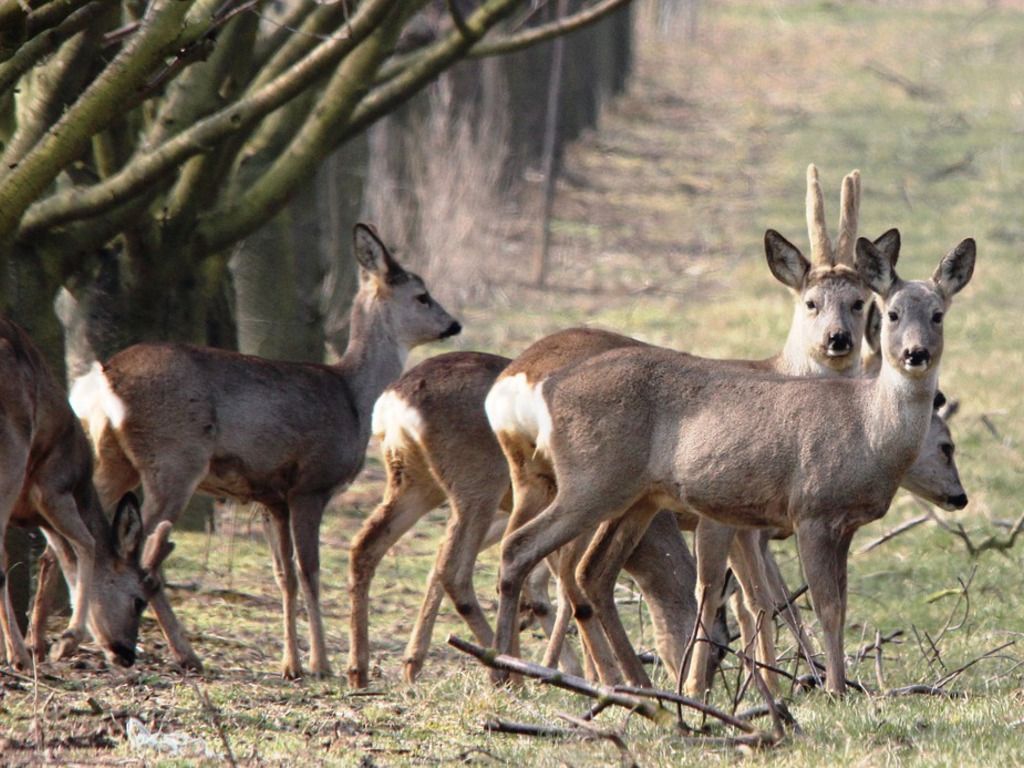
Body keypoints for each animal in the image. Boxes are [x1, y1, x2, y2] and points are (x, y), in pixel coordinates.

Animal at [0, 315, 172, 671]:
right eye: (139, 600)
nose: (127, 654)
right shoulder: (55, 487)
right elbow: (87, 544)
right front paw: (66, 641)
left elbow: (62, 557)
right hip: (13, 452)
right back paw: (20, 656)